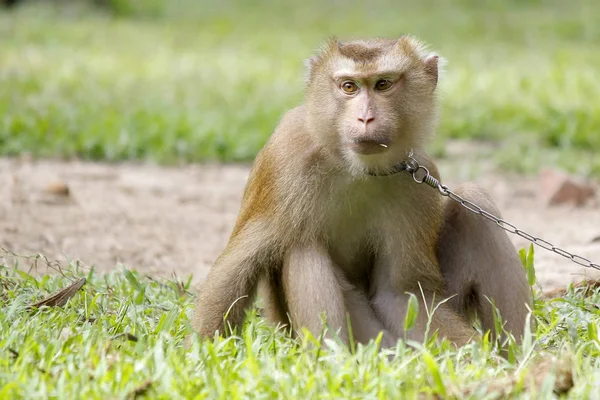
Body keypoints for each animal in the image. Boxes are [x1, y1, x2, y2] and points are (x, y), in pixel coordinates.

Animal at [191, 36, 528, 348]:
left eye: (383, 84)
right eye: (349, 87)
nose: (365, 117)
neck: (354, 168)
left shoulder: (414, 187)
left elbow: (400, 293)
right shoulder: (286, 159)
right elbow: (237, 268)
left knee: (474, 201)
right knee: (303, 244)